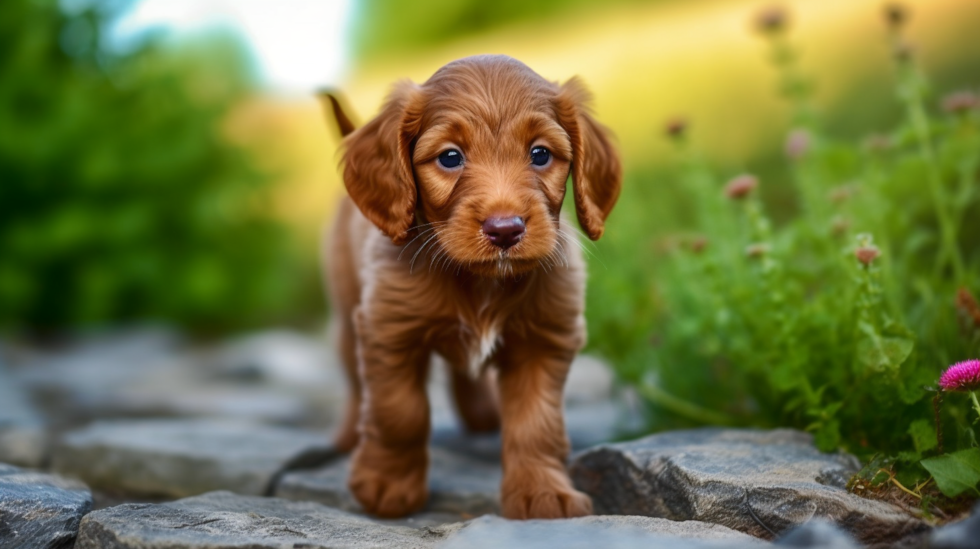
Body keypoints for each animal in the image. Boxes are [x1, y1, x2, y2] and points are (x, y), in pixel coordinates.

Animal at [328, 54, 620, 520]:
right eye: (450, 157)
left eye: (540, 154)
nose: (505, 229)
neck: (481, 281)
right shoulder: (389, 329)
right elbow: (399, 411)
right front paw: (386, 484)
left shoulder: (544, 340)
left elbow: (537, 424)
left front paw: (542, 493)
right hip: (345, 309)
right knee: (357, 383)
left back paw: (482, 412)